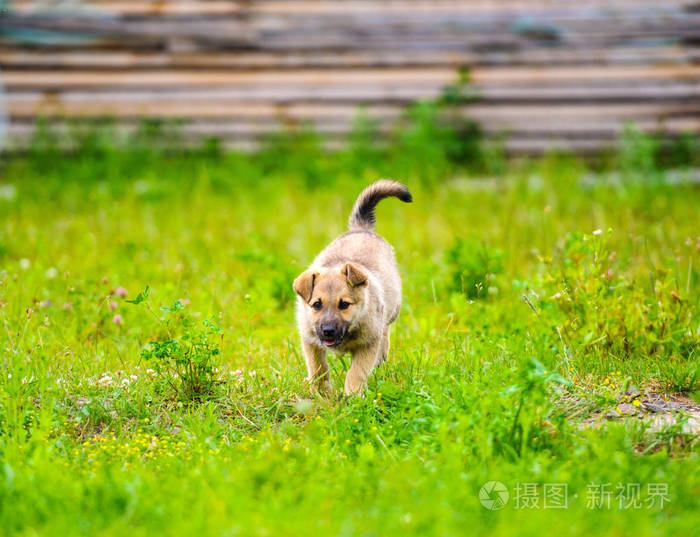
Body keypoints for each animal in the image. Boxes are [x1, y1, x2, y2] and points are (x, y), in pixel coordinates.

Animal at [292, 180, 412, 394]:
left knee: (386, 332)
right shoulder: (310, 340)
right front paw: (321, 392)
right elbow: (318, 368)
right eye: (316, 305)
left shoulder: (368, 343)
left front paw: (353, 395)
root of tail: (362, 228)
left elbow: (356, 372)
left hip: (392, 309)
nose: (328, 331)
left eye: (344, 305)